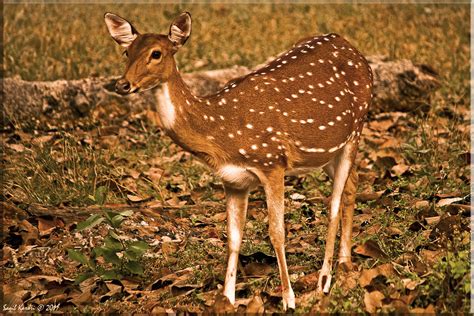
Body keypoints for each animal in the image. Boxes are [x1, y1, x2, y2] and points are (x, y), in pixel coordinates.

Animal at [104, 11, 374, 310]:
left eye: (156, 53)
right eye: (126, 52)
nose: (121, 84)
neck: (221, 132)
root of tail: (352, 48)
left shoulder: (272, 162)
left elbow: (277, 233)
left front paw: (288, 299)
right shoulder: (233, 180)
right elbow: (233, 239)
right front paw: (227, 299)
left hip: (356, 127)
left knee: (334, 203)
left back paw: (324, 281)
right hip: (326, 151)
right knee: (352, 184)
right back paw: (345, 265)